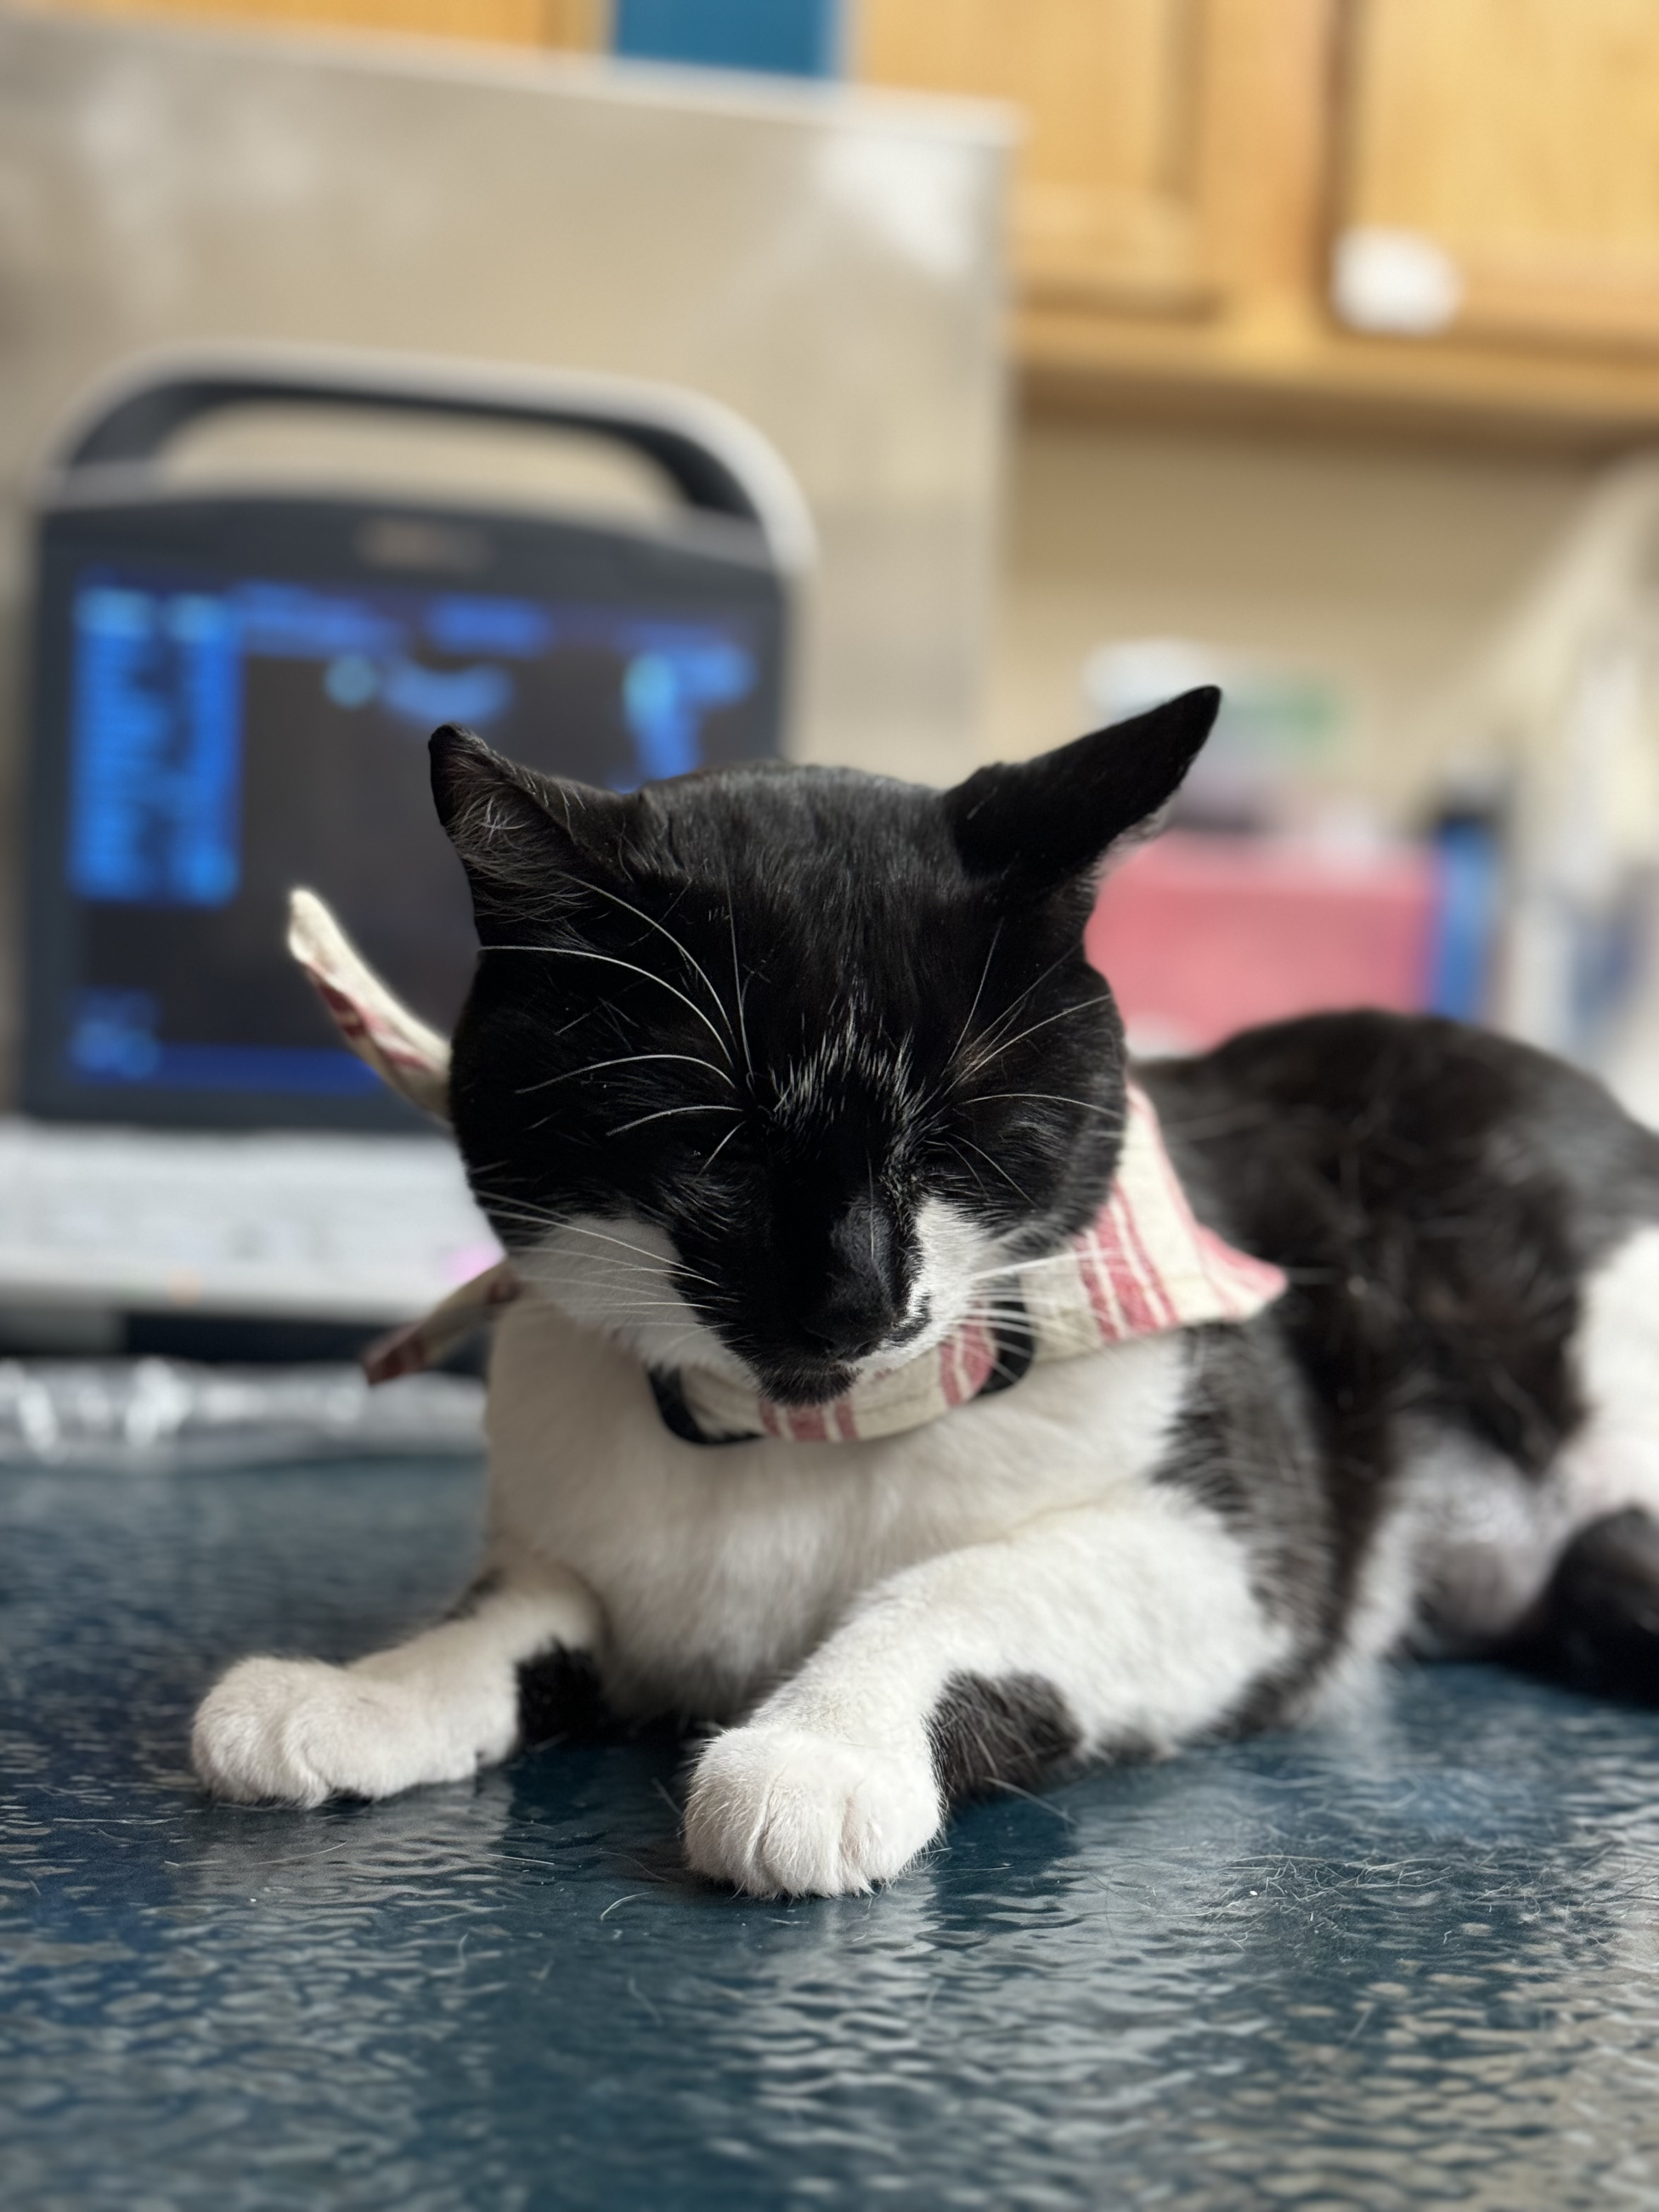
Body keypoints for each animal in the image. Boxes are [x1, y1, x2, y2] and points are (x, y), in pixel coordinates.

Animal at [191, 689, 1659, 1895]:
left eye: (960, 1140)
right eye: (708, 1139)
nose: (853, 1299)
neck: (788, 1445)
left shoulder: (1240, 1553)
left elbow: (965, 1585)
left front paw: (819, 1752)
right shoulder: (579, 1552)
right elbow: (507, 1625)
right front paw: (366, 1694)